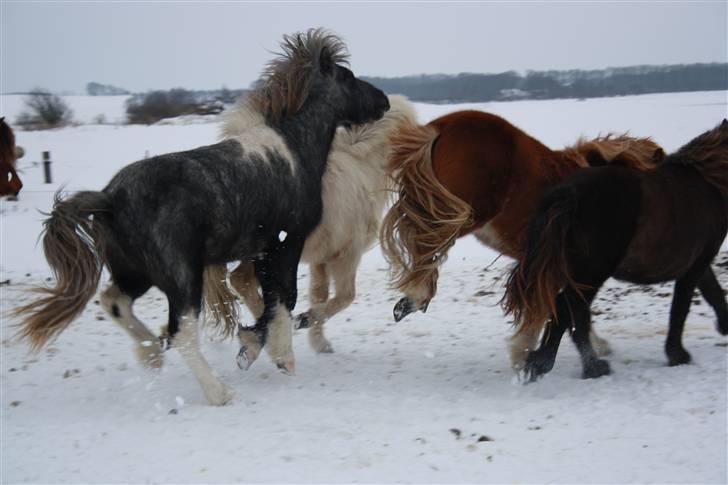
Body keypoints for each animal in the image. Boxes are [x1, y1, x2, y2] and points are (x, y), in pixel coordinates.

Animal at [202, 94, 418, 362]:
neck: (361, 169)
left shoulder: (321, 259)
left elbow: (319, 295)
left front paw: (319, 341)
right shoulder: (347, 254)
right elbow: (345, 296)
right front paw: (304, 321)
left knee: (241, 282)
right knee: (242, 281)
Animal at [382, 109, 664, 366]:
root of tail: (446, 124)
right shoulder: (555, 265)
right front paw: (523, 351)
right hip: (463, 212)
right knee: (427, 243)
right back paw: (415, 297)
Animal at [504, 119, 728, 380]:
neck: (709, 182)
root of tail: (570, 194)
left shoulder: (698, 263)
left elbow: (712, 291)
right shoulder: (696, 263)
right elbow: (681, 308)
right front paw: (678, 355)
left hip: (581, 272)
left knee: (572, 313)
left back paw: (566, 364)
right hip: (592, 271)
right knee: (569, 310)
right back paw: (573, 366)